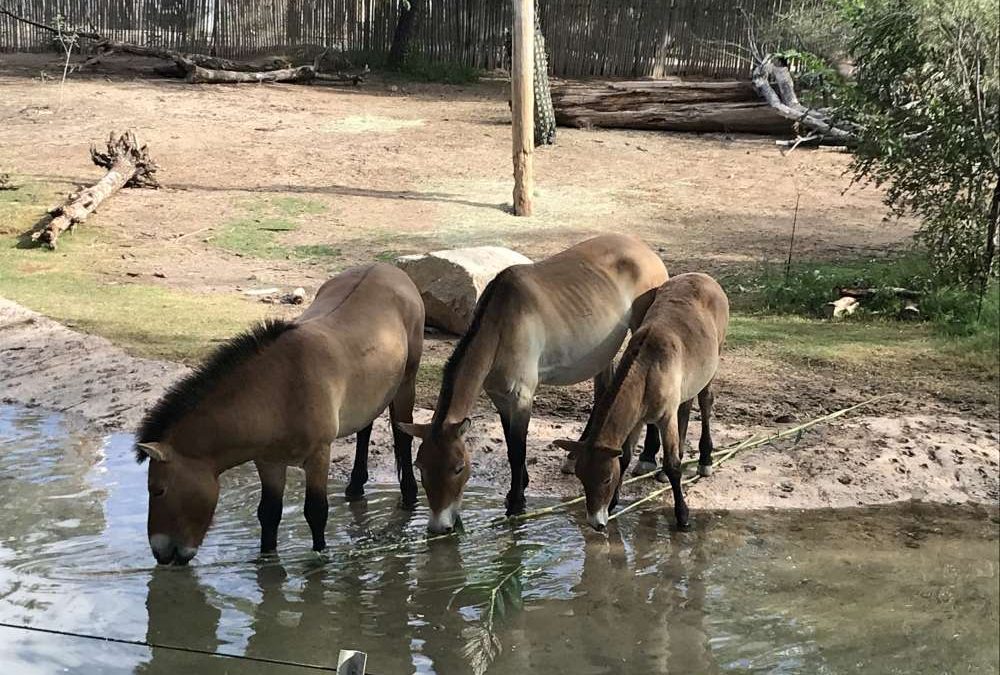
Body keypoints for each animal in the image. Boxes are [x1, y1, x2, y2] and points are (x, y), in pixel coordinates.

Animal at [133, 264, 422, 564]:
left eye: (158, 490)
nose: (160, 553)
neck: (278, 391)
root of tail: (389, 269)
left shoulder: (319, 455)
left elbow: (316, 512)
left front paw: (320, 557)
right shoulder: (269, 462)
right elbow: (269, 513)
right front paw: (267, 558)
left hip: (406, 382)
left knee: (403, 435)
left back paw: (409, 494)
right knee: (365, 428)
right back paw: (355, 487)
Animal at [394, 235, 668, 536]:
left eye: (457, 467)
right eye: (421, 466)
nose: (438, 526)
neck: (501, 324)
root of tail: (644, 248)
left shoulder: (521, 398)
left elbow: (517, 450)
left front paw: (516, 504)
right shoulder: (500, 397)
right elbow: (511, 446)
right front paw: (520, 486)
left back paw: (649, 457)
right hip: (601, 352)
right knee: (602, 394)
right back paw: (575, 456)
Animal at [556, 274, 728, 532]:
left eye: (606, 479)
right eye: (581, 477)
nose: (596, 522)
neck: (648, 367)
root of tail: (704, 278)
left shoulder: (665, 417)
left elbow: (672, 465)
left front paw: (683, 516)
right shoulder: (637, 418)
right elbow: (625, 457)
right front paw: (613, 504)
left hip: (714, 360)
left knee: (705, 402)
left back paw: (705, 461)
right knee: (687, 405)